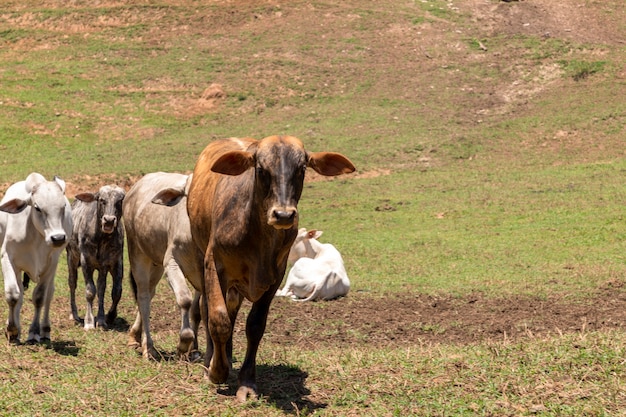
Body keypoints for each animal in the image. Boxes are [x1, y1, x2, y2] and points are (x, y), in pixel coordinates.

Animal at [0, 171, 72, 342]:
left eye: (63, 207)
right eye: (37, 208)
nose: (58, 238)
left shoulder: (51, 263)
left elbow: (39, 297)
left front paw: (34, 332)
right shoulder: (7, 258)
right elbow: (13, 295)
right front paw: (12, 329)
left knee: (49, 294)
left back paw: (45, 330)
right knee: (19, 292)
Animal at [66, 184, 125, 328]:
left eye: (119, 201)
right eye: (102, 200)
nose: (109, 220)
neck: (101, 239)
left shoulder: (113, 263)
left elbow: (113, 291)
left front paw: (105, 318)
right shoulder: (86, 262)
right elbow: (90, 291)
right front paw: (89, 322)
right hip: (71, 258)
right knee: (72, 283)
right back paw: (74, 314)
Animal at [120, 171, 201, 360]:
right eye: (188, 196)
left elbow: (198, 311)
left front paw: (195, 350)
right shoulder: (171, 264)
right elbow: (185, 300)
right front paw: (184, 343)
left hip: (156, 264)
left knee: (150, 293)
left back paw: (135, 336)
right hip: (138, 255)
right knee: (143, 297)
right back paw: (148, 347)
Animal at [185, 136, 354, 400]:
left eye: (302, 168)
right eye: (261, 169)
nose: (283, 215)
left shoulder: (275, 278)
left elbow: (255, 326)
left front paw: (246, 382)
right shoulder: (214, 265)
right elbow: (218, 318)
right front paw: (216, 371)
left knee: (233, 311)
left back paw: (229, 357)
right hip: (201, 258)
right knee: (206, 309)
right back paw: (212, 360)